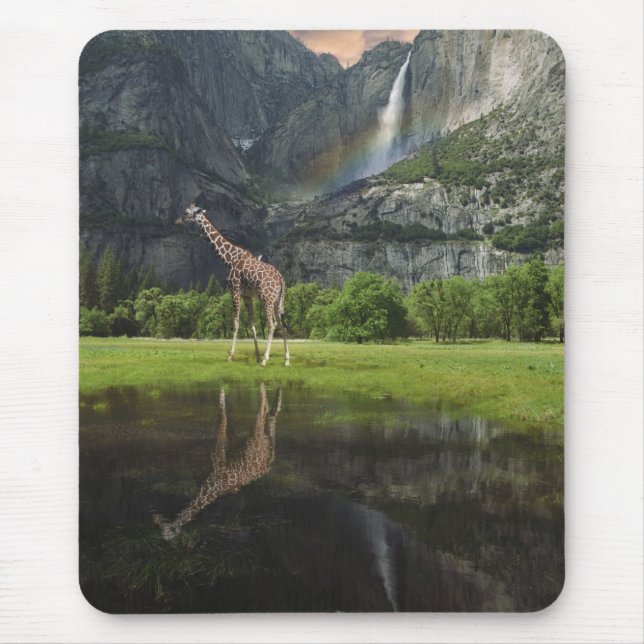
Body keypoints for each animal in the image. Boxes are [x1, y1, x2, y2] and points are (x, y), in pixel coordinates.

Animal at [153, 383, 281, 541]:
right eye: (160, 530)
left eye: (166, 532)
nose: (156, 518)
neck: (212, 487)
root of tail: (266, 464)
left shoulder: (218, 458)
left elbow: (221, 423)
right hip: (264, 440)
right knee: (268, 415)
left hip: (255, 437)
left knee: (262, 408)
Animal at [175, 203, 289, 366]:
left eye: (186, 212)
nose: (177, 220)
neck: (228, 258)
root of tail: (281, 279)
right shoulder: (247, 296)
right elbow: (252, 324)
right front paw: (256, 356)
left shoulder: (234, 291)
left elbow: (235, 323)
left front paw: (231, 356)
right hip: (279, 301)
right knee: (282, 324)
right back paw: (286, 359)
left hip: (266, 298)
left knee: (272, 324)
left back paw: (266, 359)